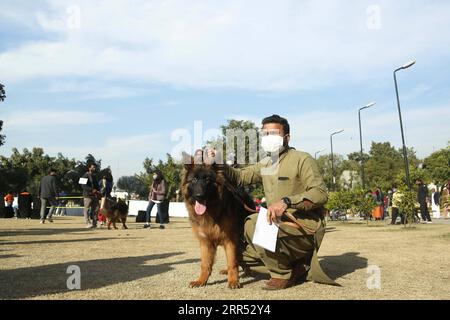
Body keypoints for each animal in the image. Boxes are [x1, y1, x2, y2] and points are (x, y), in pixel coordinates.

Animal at [181, 155, 255, 290]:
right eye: (194, 179)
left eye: (207, 180)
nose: (199, 196)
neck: (211, 211)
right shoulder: (205, 242)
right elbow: (205, 264)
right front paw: (201, 281)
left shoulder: (230, 240)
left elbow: (232, 262)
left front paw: (233, 281)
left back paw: (247, 271)